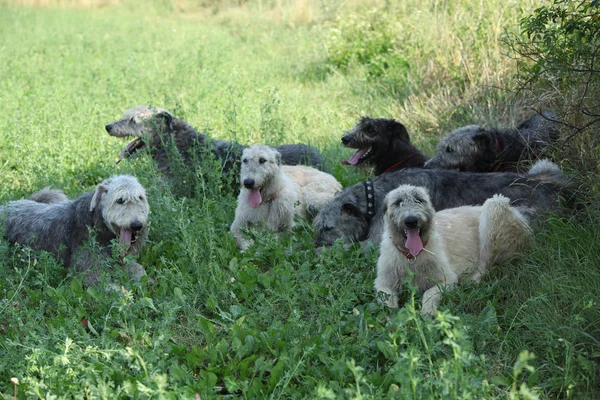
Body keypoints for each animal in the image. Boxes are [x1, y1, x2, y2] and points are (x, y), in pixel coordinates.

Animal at [1, 174, 149, 284]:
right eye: (120, 200)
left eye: (140, 198)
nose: (137, 225)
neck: (95, 223)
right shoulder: (90, 273)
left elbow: (140, 271)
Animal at [372, 185, 532, 316]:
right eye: (397, 202)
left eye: (419, 200)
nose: (411, 221)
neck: (412, 256)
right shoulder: (384, 282)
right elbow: (385, 298)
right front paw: (392, 316)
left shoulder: (446, 280)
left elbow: (429, 293)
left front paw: (427, 311)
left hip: (494, 207)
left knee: (486, 264)